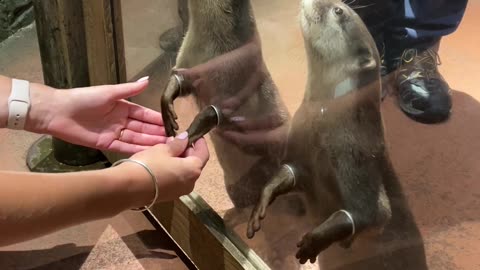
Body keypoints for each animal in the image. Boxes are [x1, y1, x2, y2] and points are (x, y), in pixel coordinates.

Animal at [159, 0, 290, 208]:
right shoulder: (187, 57)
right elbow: (180, 79)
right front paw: (167, 105)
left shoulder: (239, 74)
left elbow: (220, 111)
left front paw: (191, 132)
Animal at [246, 0, 430, 268]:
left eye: (338, 11)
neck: (327, 123)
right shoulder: (300, 145)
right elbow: (289, 171)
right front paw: (262, 198)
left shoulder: (357, 156)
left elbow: (375, 213)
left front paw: (315, 239)